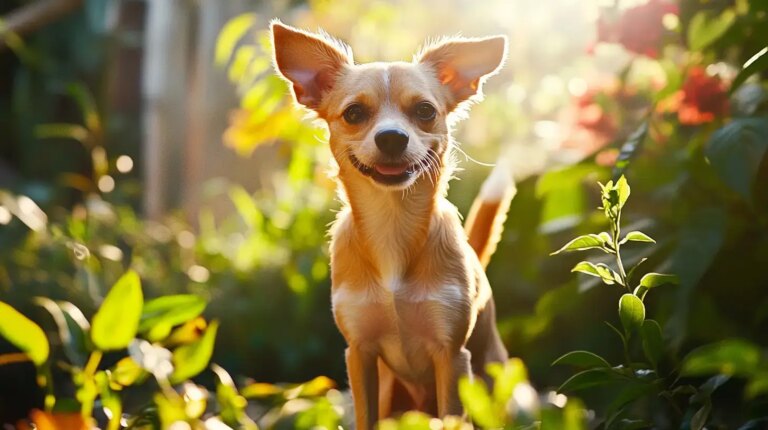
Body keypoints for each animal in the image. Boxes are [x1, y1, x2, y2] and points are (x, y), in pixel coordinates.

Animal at [270, 21, 516, 430]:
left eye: (425, 111)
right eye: (354, 113)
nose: (391, 137)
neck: (392, 224)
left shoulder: (451, 356)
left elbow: (452, 415)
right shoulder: (360, 355)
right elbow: (364, 417)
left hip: (488, 384)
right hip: (390, 394)